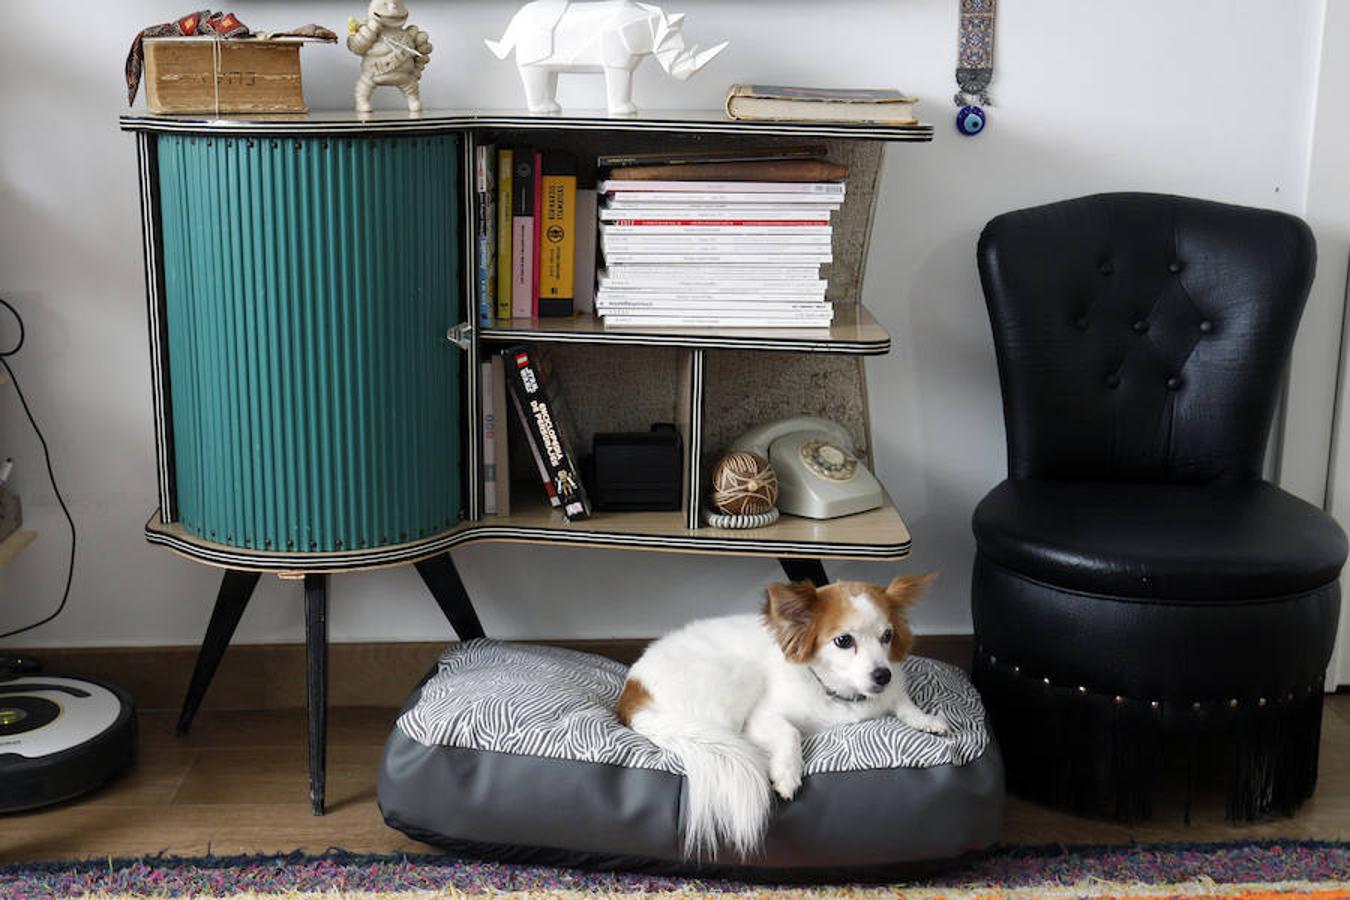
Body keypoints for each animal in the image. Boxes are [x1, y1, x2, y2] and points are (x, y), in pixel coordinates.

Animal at [615, 574, 945, 863]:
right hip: (740, 678)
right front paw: (787, 773)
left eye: (887, 636)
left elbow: (903, 702)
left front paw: (926, 719)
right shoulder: (761, 717)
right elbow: (790, 732)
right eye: (843, 641)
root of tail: (634, 693)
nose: (882, 675)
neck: (839, 695)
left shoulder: (892, 689)